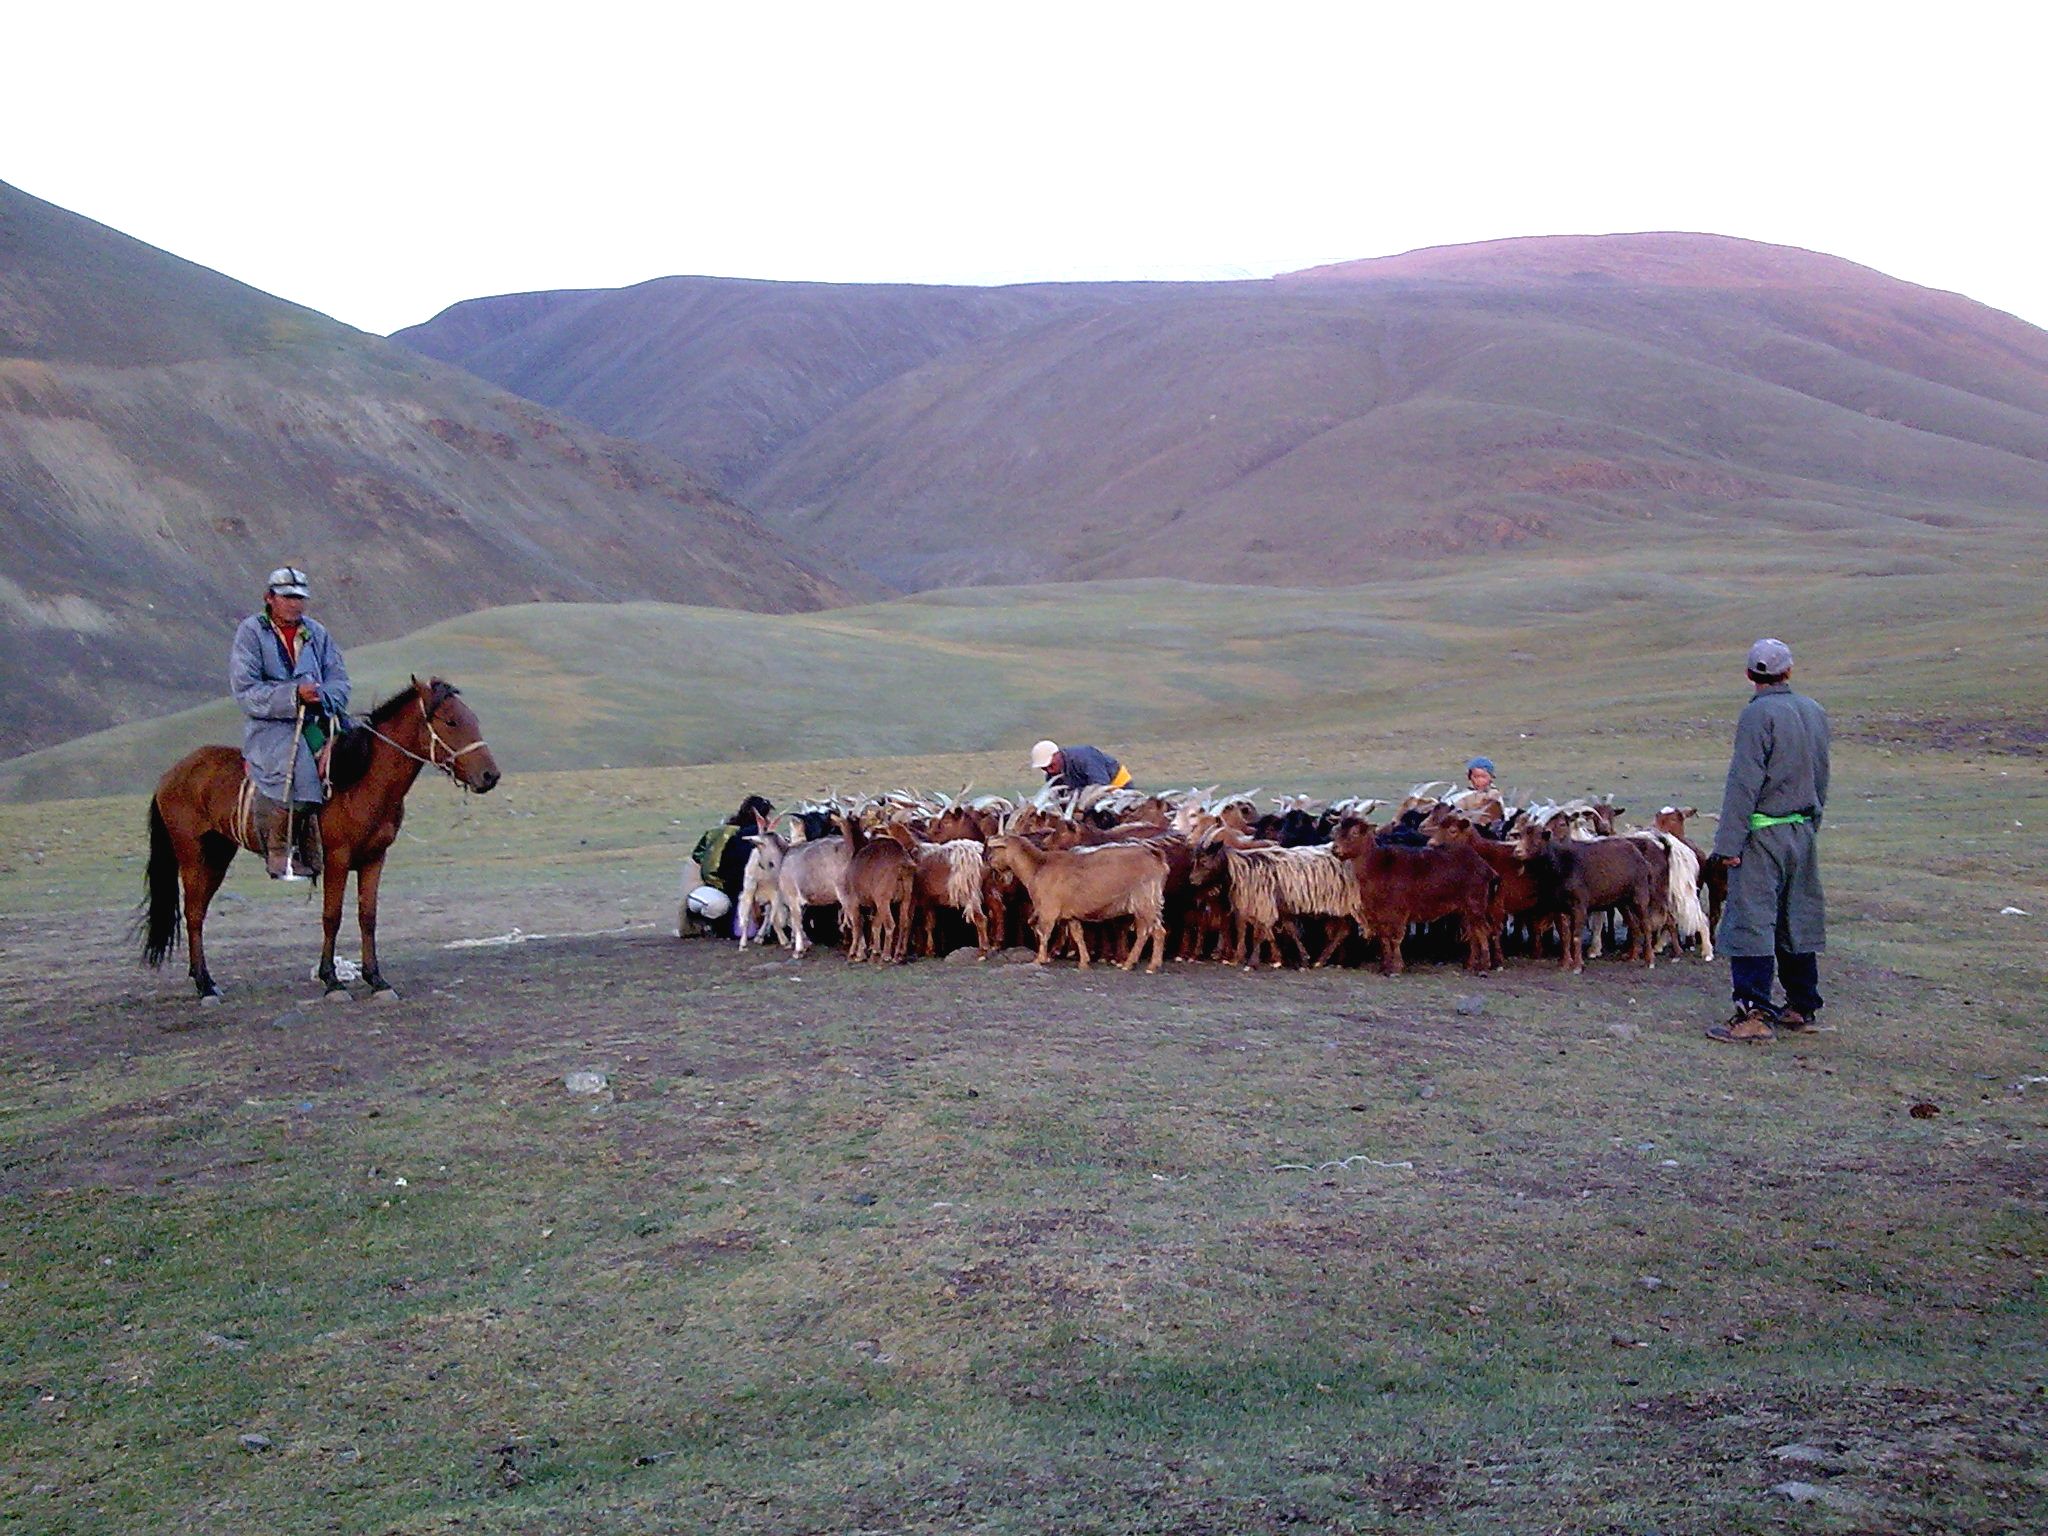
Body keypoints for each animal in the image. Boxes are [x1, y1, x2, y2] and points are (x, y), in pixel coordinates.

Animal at [140, 679, 499, 1003]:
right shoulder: (337, 859)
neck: (360, 781)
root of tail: (170, 774)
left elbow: (368, 916)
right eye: (451, 721)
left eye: (473, 719)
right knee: (193, 915)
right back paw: (204, 986)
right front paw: (332, 981)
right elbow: (332, 916)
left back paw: (207, 982)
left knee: (198, 912)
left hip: (217, 854)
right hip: (192, 855)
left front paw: (376, 980)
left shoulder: (374, 858)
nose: (490, 776)